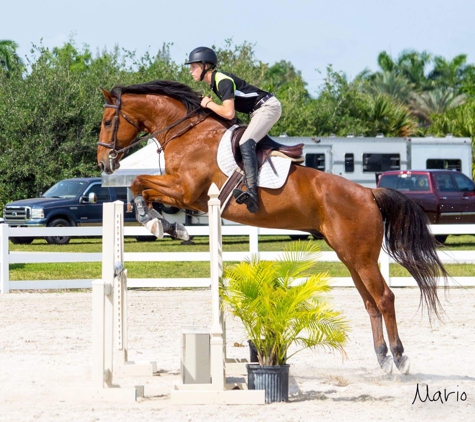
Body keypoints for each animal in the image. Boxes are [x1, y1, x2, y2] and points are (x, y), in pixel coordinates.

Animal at [97, 78, 450, 372]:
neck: (188, 133)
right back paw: (382, 357)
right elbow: (140, 188)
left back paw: (400, 357)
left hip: (361, 257)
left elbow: (139, 184)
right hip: (350, 256)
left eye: (107, 122)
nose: (104, 163)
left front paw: (159, 224)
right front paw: (167, 227)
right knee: (370, 302)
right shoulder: (185, 195)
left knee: (384, 297)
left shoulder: (185, 190)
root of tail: (368, 192)